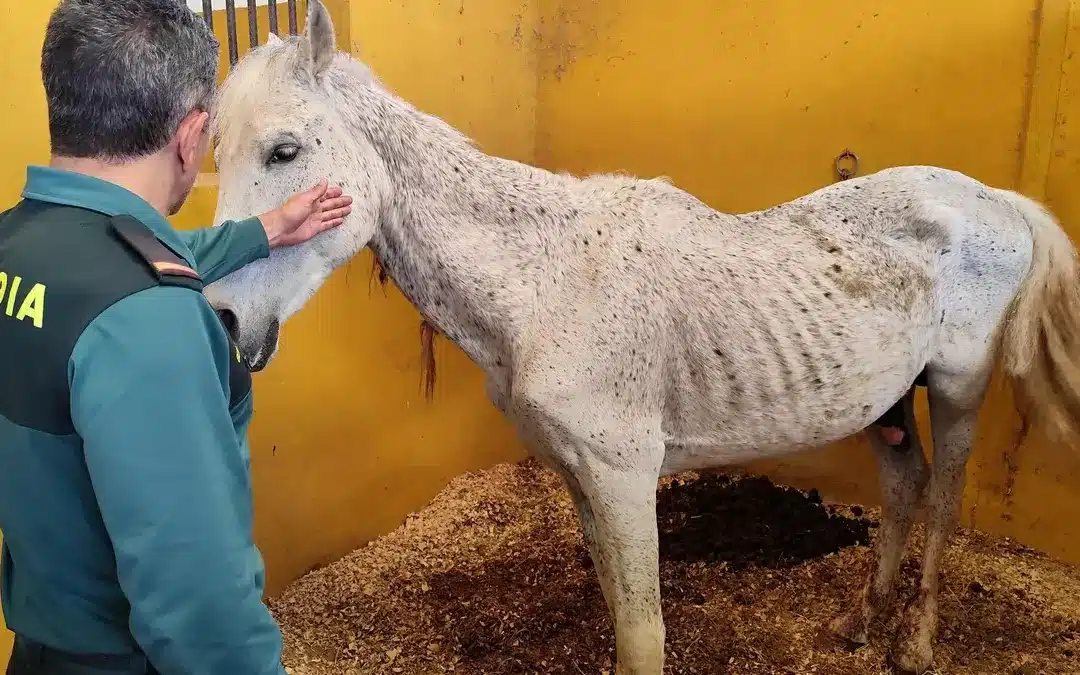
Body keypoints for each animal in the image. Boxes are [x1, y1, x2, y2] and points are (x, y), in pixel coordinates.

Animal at [204, 2, 1080, 673]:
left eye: (285, 150)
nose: (222, 319)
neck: (545, 282)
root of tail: (994, 199)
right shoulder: (580, 476)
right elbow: (620, 611)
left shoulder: (626, 476)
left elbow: (644, 632)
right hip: (887, 402)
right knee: (904, 488)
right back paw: (859, 624)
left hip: (958, 388)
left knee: (942, 500)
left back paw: (917, 643)